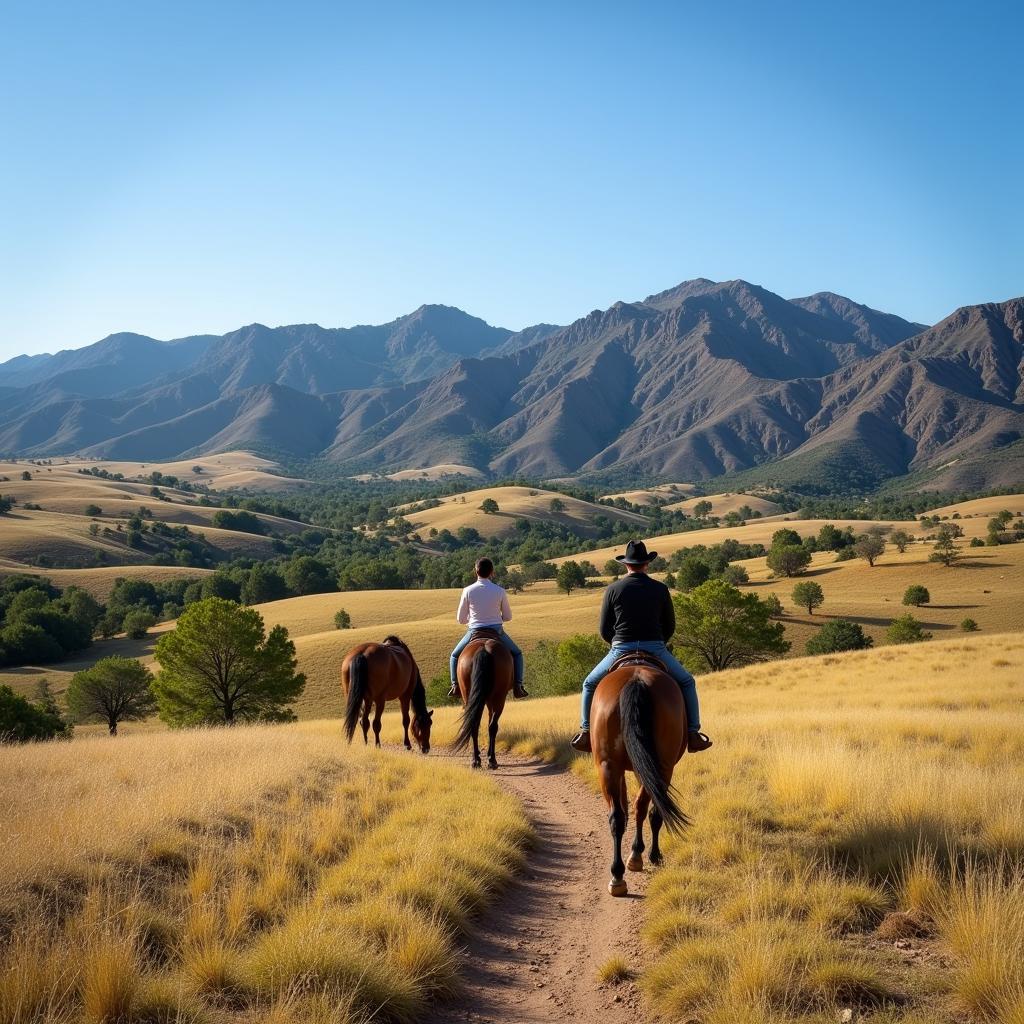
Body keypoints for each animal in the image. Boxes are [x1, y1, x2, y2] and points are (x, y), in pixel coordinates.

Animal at [450, 630, 512, 770]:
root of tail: (483, 648)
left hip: (469, 696)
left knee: (475, 724)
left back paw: (476, 760)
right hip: (499, 698)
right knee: (492, 726)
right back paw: (492, 760)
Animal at [589, 655, 692, 897]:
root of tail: (636, 680)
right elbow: (652, 811)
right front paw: (653, 855)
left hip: (608, 765)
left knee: (618, 816)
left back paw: (617, 877)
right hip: (662, 766)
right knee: (649, 809)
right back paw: (637, 858)